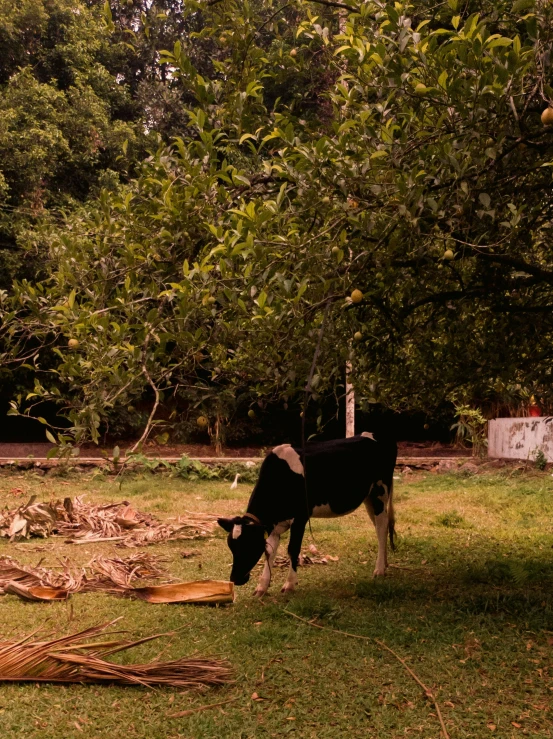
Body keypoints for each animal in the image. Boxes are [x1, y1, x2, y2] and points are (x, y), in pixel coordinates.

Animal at [217, 434, 396, 596]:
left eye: (249, 545)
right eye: (231, 546)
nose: (235, 579)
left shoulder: (300, 517)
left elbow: (293, 549)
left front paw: (289, 584)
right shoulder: (274, 525)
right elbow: (270, 551)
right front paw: (262, 587)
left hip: (380, 491)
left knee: (381, 527)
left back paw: (379, 570)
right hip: (368, 498)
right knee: (382, 526)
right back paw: (385, 563)